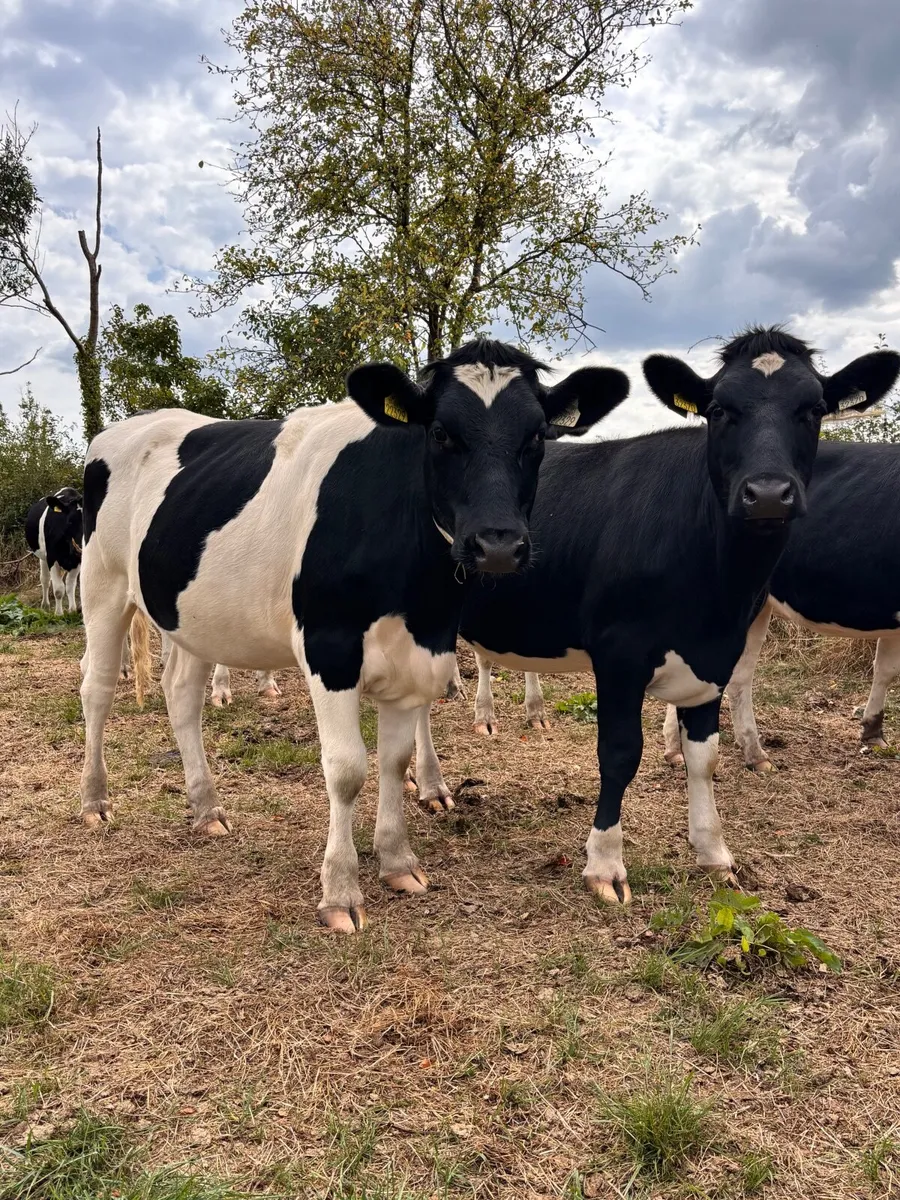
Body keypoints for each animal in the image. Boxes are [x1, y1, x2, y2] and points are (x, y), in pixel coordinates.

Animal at [78, 339, 630, 931]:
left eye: (536, 437)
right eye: (440, 432)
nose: (498, 543)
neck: (416, 593)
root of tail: (132, 425)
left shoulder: (422, 649)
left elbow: (394, 760)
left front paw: (398, 862)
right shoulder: (329, 648)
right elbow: (347, 770)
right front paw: (340, 892)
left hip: (195, 618)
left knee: (181, 695)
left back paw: (206, 809)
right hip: (102, 586)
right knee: (97, 690)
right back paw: (95, 801)